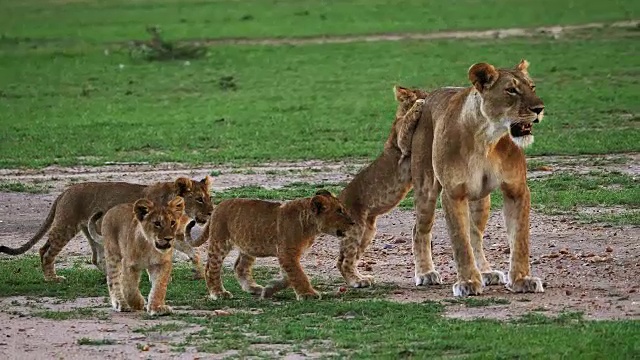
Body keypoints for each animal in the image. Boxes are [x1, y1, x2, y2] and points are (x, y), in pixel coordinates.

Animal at [410, 59, 544, 296]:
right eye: (511, 90)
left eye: (532, 87)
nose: (539, 109)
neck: (487, 139)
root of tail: (429, 96)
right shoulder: (453, 193)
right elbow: (460, 242)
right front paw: (468, 282)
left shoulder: (517, 190)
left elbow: (519, 239)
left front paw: (522, 280)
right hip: (426, 190)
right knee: (420, 230)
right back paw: (426, 273)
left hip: (482, 201)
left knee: (475, 234)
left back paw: (487, 272)